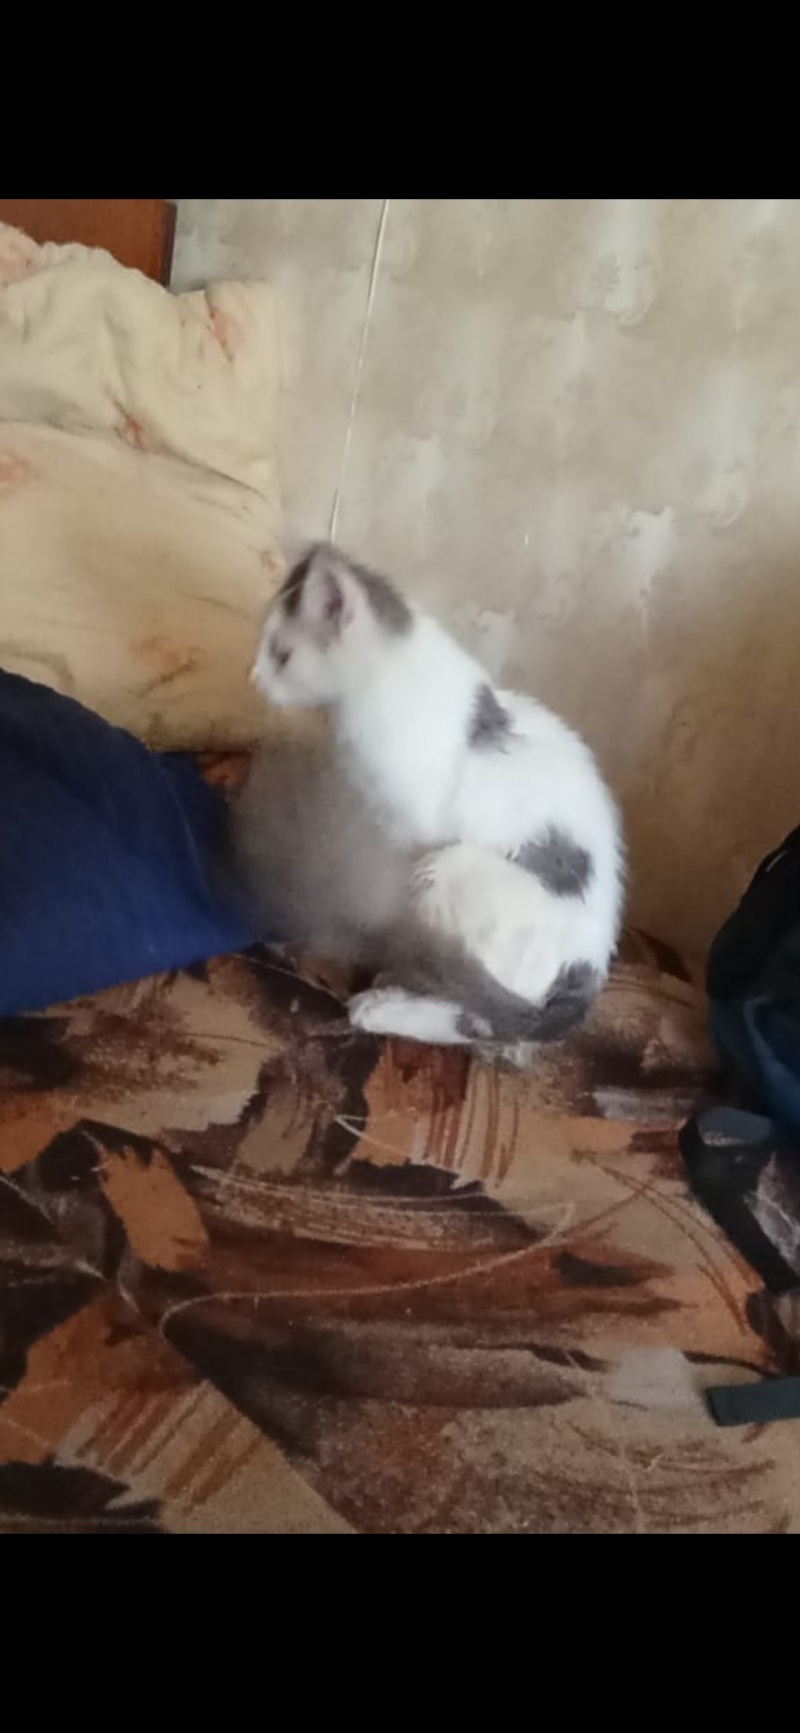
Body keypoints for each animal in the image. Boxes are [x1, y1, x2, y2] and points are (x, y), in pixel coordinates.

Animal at [244, 542, 624, 1054]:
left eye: (281, 655)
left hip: (447, 870)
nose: (253, 677)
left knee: (483, 1022)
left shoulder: (406, 830)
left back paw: (384, 1005)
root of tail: (590, 973)